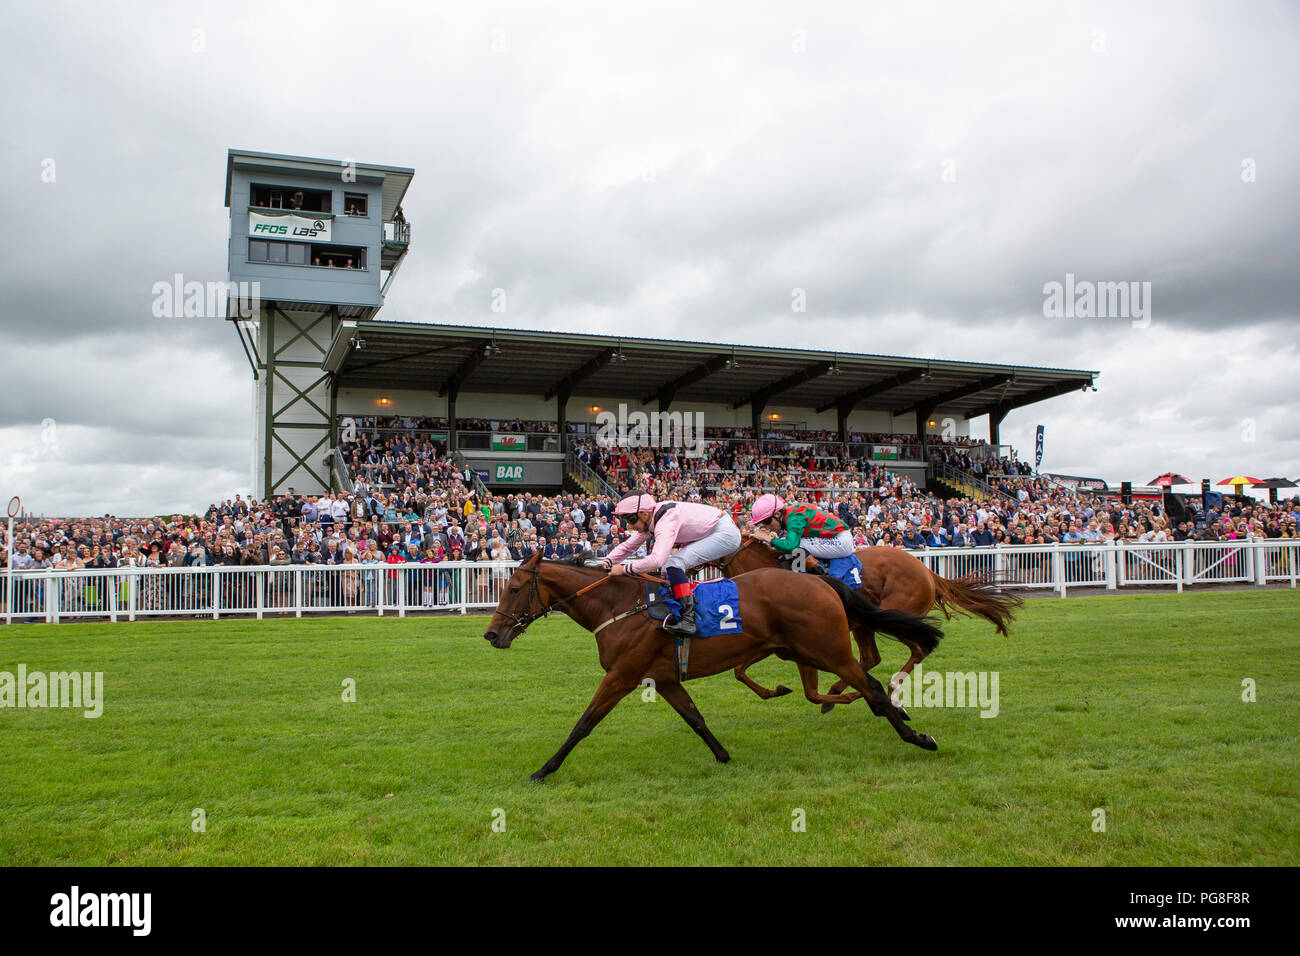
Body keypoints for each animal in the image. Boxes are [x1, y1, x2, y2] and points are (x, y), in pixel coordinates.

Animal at [483, 548, 941, 780]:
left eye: (516, 588)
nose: (491, 635)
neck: (617, 606)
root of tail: (819, 579)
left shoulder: (622, 675)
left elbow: (583, 724)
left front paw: (544, 769)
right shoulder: (663, 679)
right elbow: (695, 719)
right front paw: (722, 756)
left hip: (828, 650)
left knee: (872, 687)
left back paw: (918, 736)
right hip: (800, 650)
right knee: (849, 686)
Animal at [717, 538, 1019, 712]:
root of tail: (928, 572)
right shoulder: (765, 641)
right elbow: (739, 671)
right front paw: (774, 691)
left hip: (894, 615)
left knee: (917, 649)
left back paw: (890, 688)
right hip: (866, 624)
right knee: (872, 658)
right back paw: (842, 690)